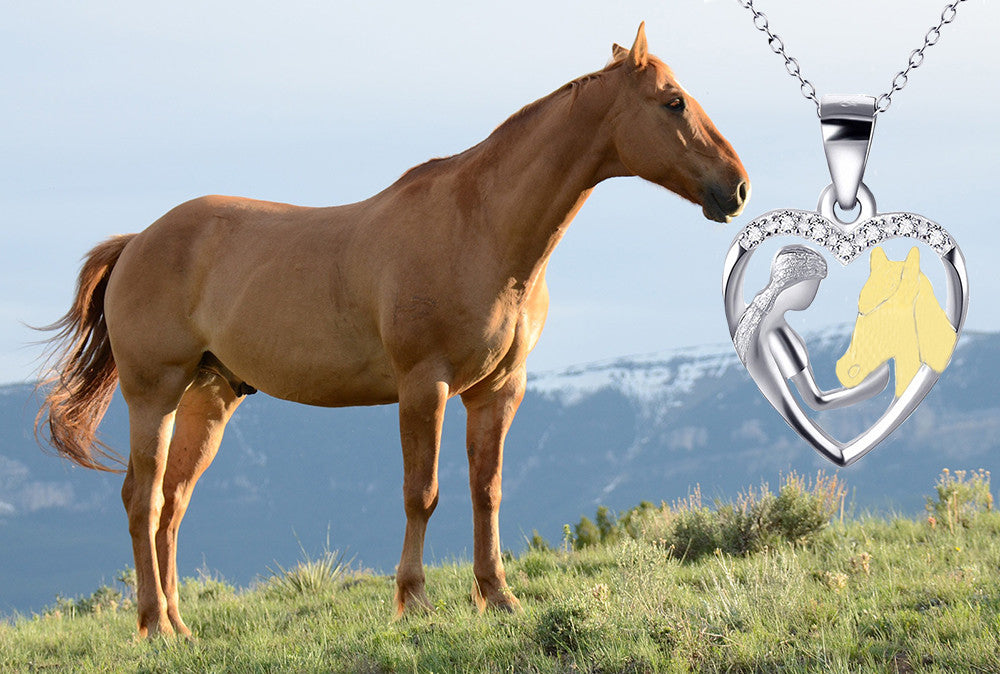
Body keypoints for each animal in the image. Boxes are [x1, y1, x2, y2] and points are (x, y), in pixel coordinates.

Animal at [36, 23, 748, 638]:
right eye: (673, 102)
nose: (737, 188)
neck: (481, 228)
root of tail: (137, 242)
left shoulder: (498, 391)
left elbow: (486, 491)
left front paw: (498, 597)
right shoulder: (423, 386)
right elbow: (421, 494)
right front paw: (415, 600)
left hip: (208, 398)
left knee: (173, 504)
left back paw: (180, 626)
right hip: (154, 392)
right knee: (143, 499)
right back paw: (154, 626)